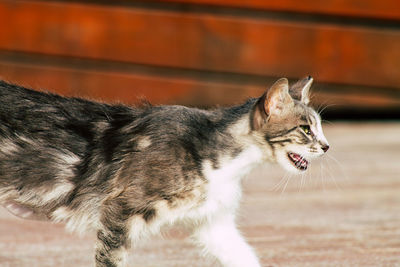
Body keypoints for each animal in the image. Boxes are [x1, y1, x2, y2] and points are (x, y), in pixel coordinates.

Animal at [0, 76, 328, 266]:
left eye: (319, 127)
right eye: (306, 129)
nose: (326, 146)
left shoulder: (214, 223)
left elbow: (245, 257)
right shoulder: (121, 212)